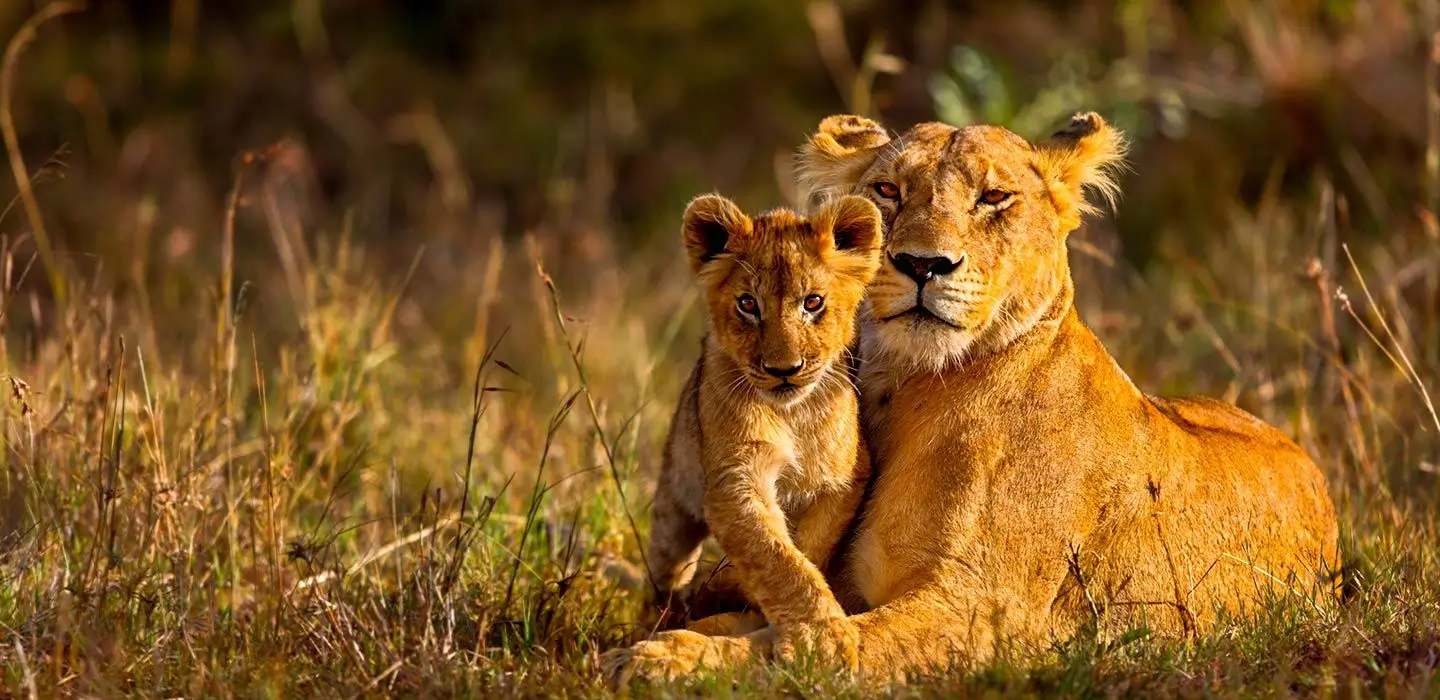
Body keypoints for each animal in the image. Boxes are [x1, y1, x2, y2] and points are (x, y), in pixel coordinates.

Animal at [617, 193, 884, 674]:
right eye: (747, 304)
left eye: (813, 302)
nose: (784, 370)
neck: (792, 414)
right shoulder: (735, 480)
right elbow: (775, 556)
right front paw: (823, 638)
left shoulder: (841, 482)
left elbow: (804, 551)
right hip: (672, 508)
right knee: (666, 572)